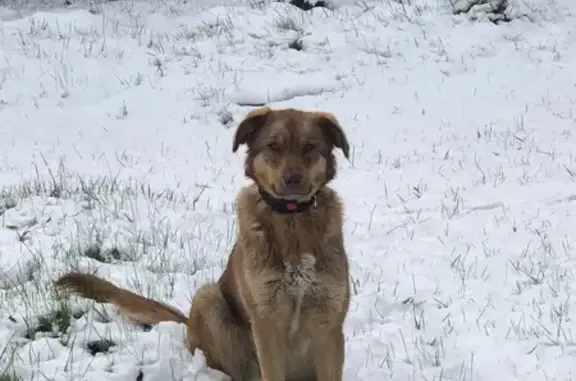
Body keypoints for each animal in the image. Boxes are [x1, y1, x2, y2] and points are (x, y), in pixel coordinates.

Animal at [55, 106, 352, 380]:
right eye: (273, 145)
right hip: (209, 299)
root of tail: (187, 324)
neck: (292, 220)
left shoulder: (330, 325)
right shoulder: (266, 324)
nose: (293, 179)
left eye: (310, 146)